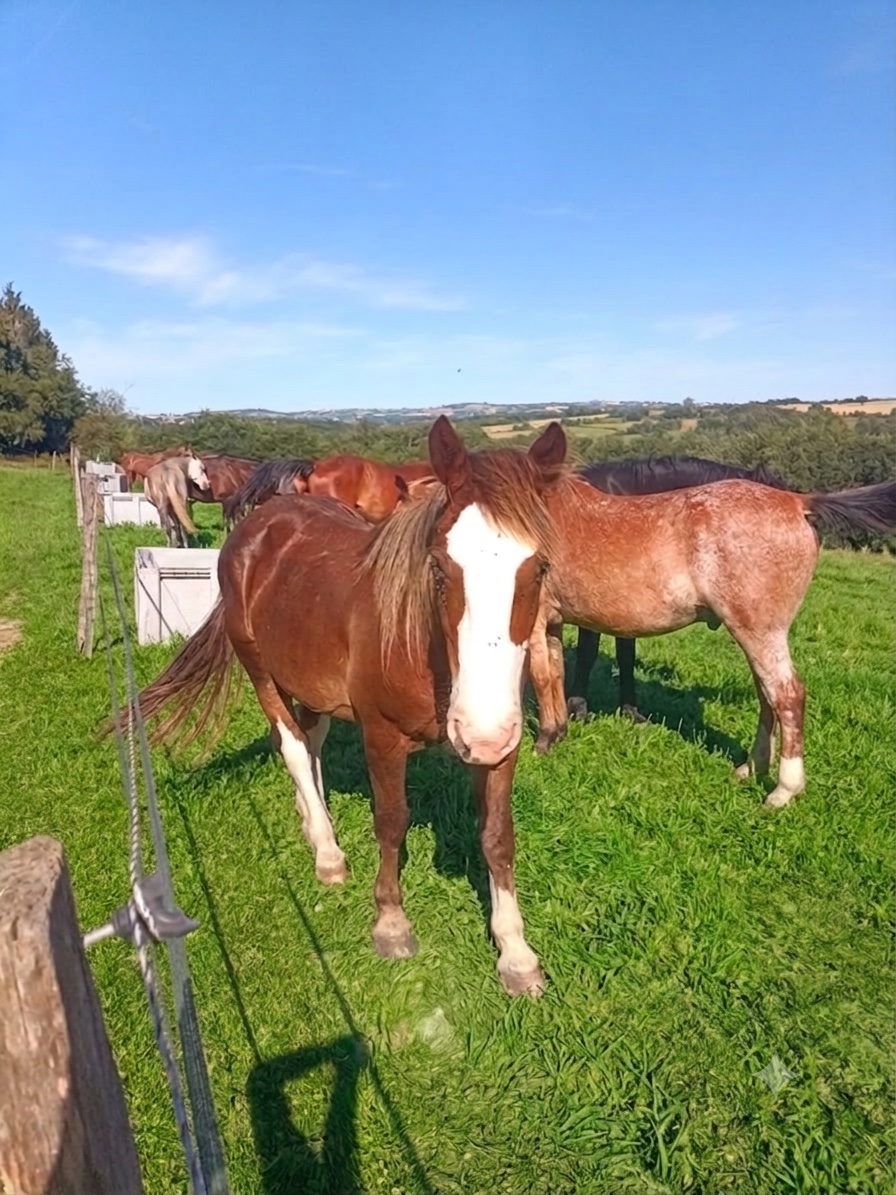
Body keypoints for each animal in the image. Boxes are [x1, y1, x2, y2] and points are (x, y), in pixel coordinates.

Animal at [128, 418, 568, 995]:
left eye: (538, 569)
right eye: (439, 568)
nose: (479, 730)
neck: (425, 649)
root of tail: (262, 520)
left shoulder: (499, 745)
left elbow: (497, 837)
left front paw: (516, 954)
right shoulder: (381, 735)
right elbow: (391, 821)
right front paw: (391, 923)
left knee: (308, 739)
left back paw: (310, 816)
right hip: (260, 670)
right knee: (291, 744)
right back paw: (327, 851)